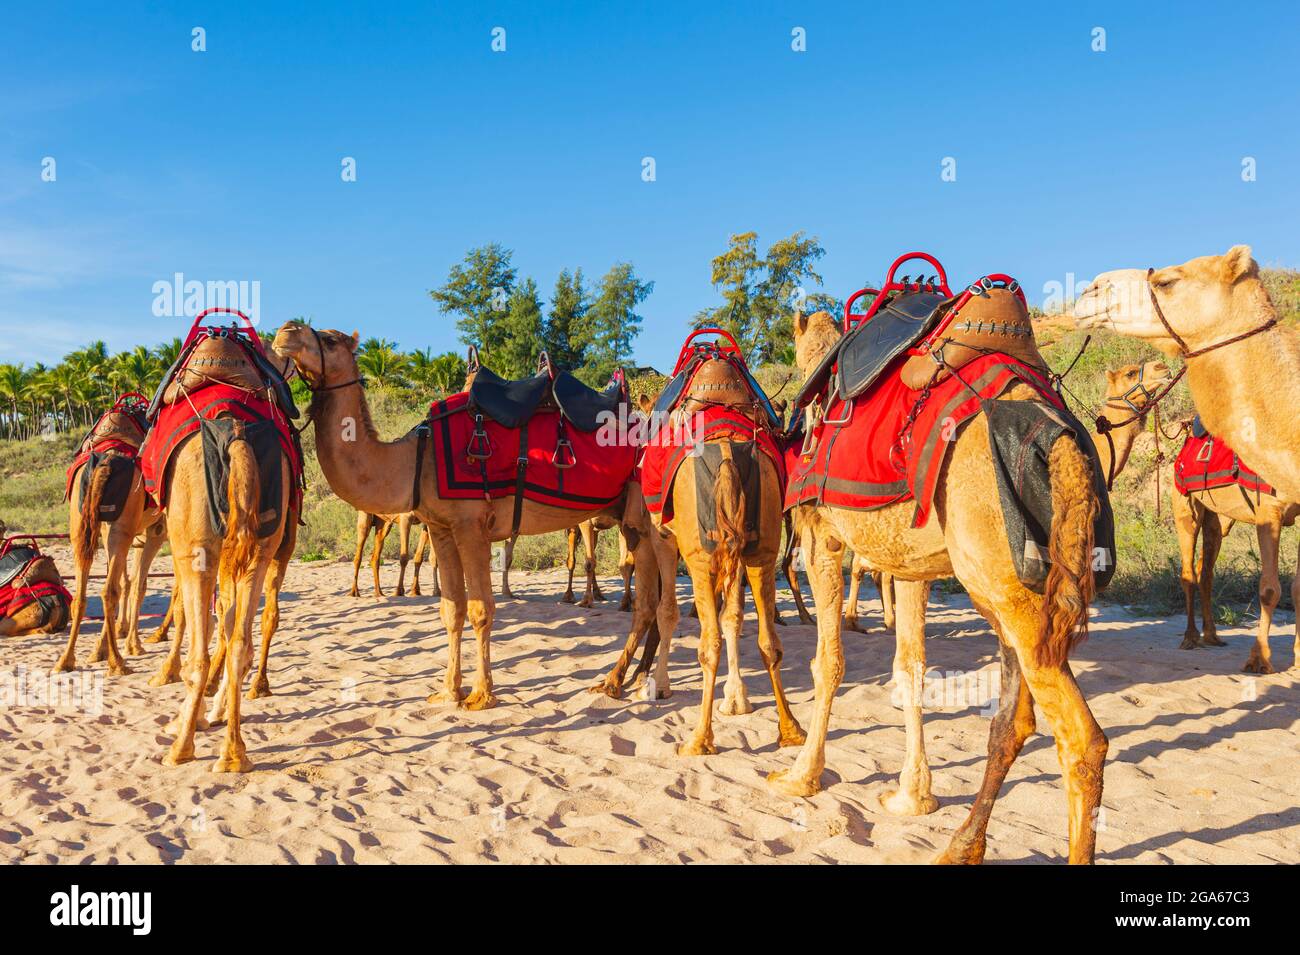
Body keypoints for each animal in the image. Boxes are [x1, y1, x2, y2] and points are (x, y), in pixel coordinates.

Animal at [267, 327, 665, 712]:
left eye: (329, 339)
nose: (284, 332)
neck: (415, 459)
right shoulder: (441, 528)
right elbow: (451, 609)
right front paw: (448, 692)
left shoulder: (471, 526)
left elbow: (480, 610)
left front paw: (480, 695)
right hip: (633, 523)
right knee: (651, 600)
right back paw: (627, 679)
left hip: (646, 520)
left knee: (651, 598)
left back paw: (622, 681)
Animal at [769, 306, 1107, 867]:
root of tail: (1064, 448)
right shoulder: (907, 564)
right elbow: (910, 668)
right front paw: (912, 795)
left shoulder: (821, 538)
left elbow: (828, 663)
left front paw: (801, 775)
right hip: (1013, 593)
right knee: (1014, 722)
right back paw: (961, 845)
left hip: (1007, 587)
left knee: (1082, 740)